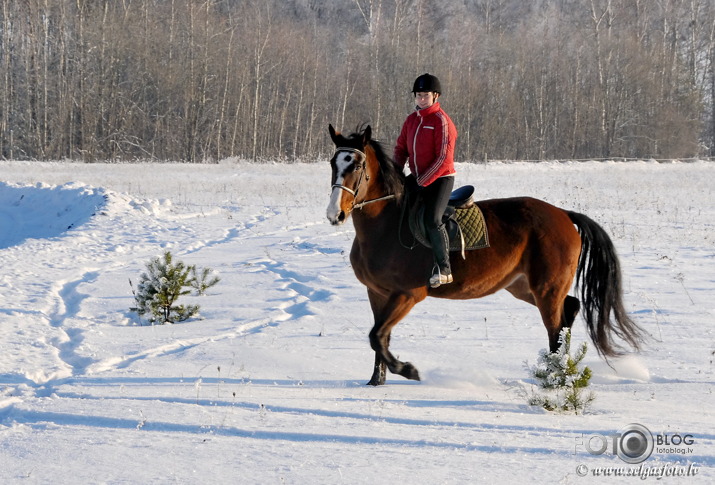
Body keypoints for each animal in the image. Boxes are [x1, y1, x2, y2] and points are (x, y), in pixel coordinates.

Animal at [328, 125, 648, 386]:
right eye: (333, 163)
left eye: (357, 164)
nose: (335, 214)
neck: (388, 224)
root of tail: (563, 215)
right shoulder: (377, 293)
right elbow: (379, 337)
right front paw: (375, 381)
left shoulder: (407, 294)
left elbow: (377, 336)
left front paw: (408, 370)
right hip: (522, 286)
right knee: (569, 310)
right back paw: (560, 370)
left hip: (546, 288)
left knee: (556, 326)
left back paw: (555, 376)